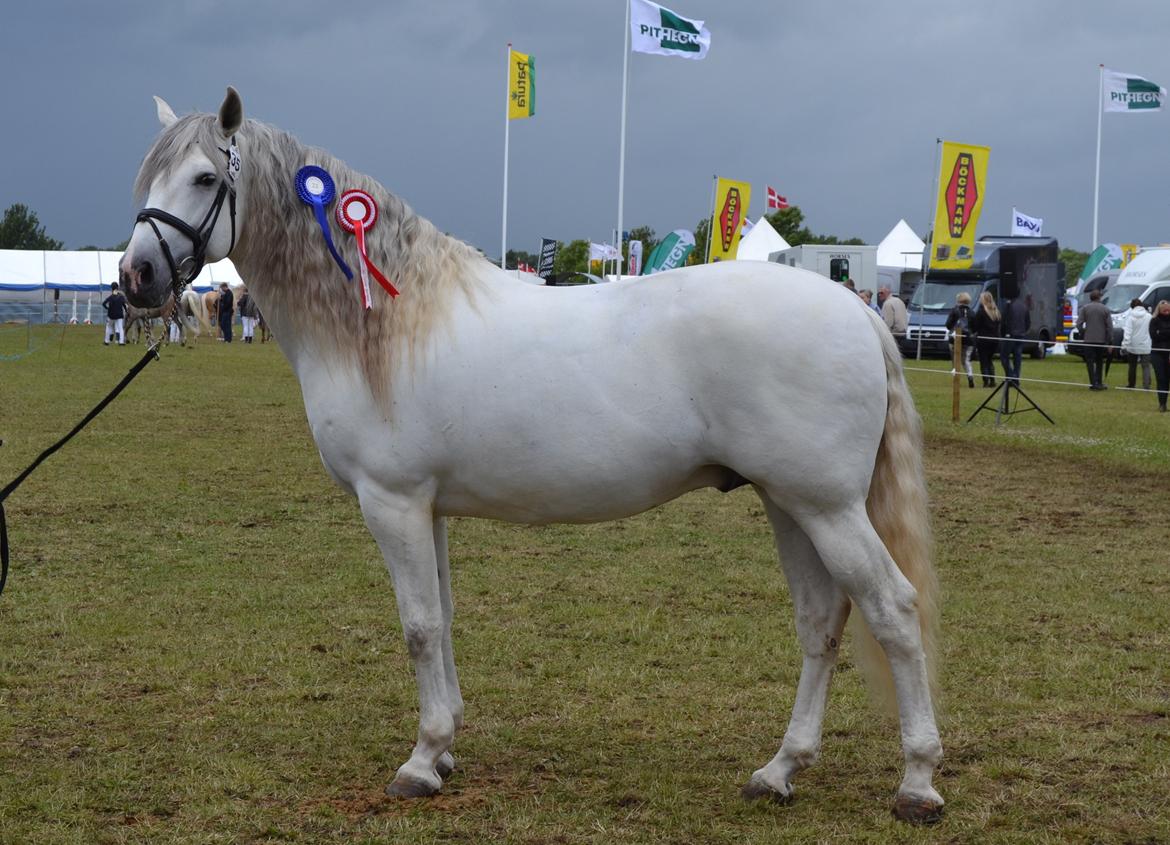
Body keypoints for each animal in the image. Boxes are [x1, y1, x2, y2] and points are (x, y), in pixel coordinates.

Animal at [118, 88, 940, 819]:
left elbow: (418, 625)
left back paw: (918, 782)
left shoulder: (392, 501)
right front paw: (446, 747)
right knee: (821, 621)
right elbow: (444, 615)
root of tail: (857, 312)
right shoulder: (427, 507)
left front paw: (420, 761)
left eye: (204, 178)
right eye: (147, 178)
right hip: (789, 503)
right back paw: (779, 770)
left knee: (894, 610)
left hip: (826, 507)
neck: (387, 325)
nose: (135, 275)